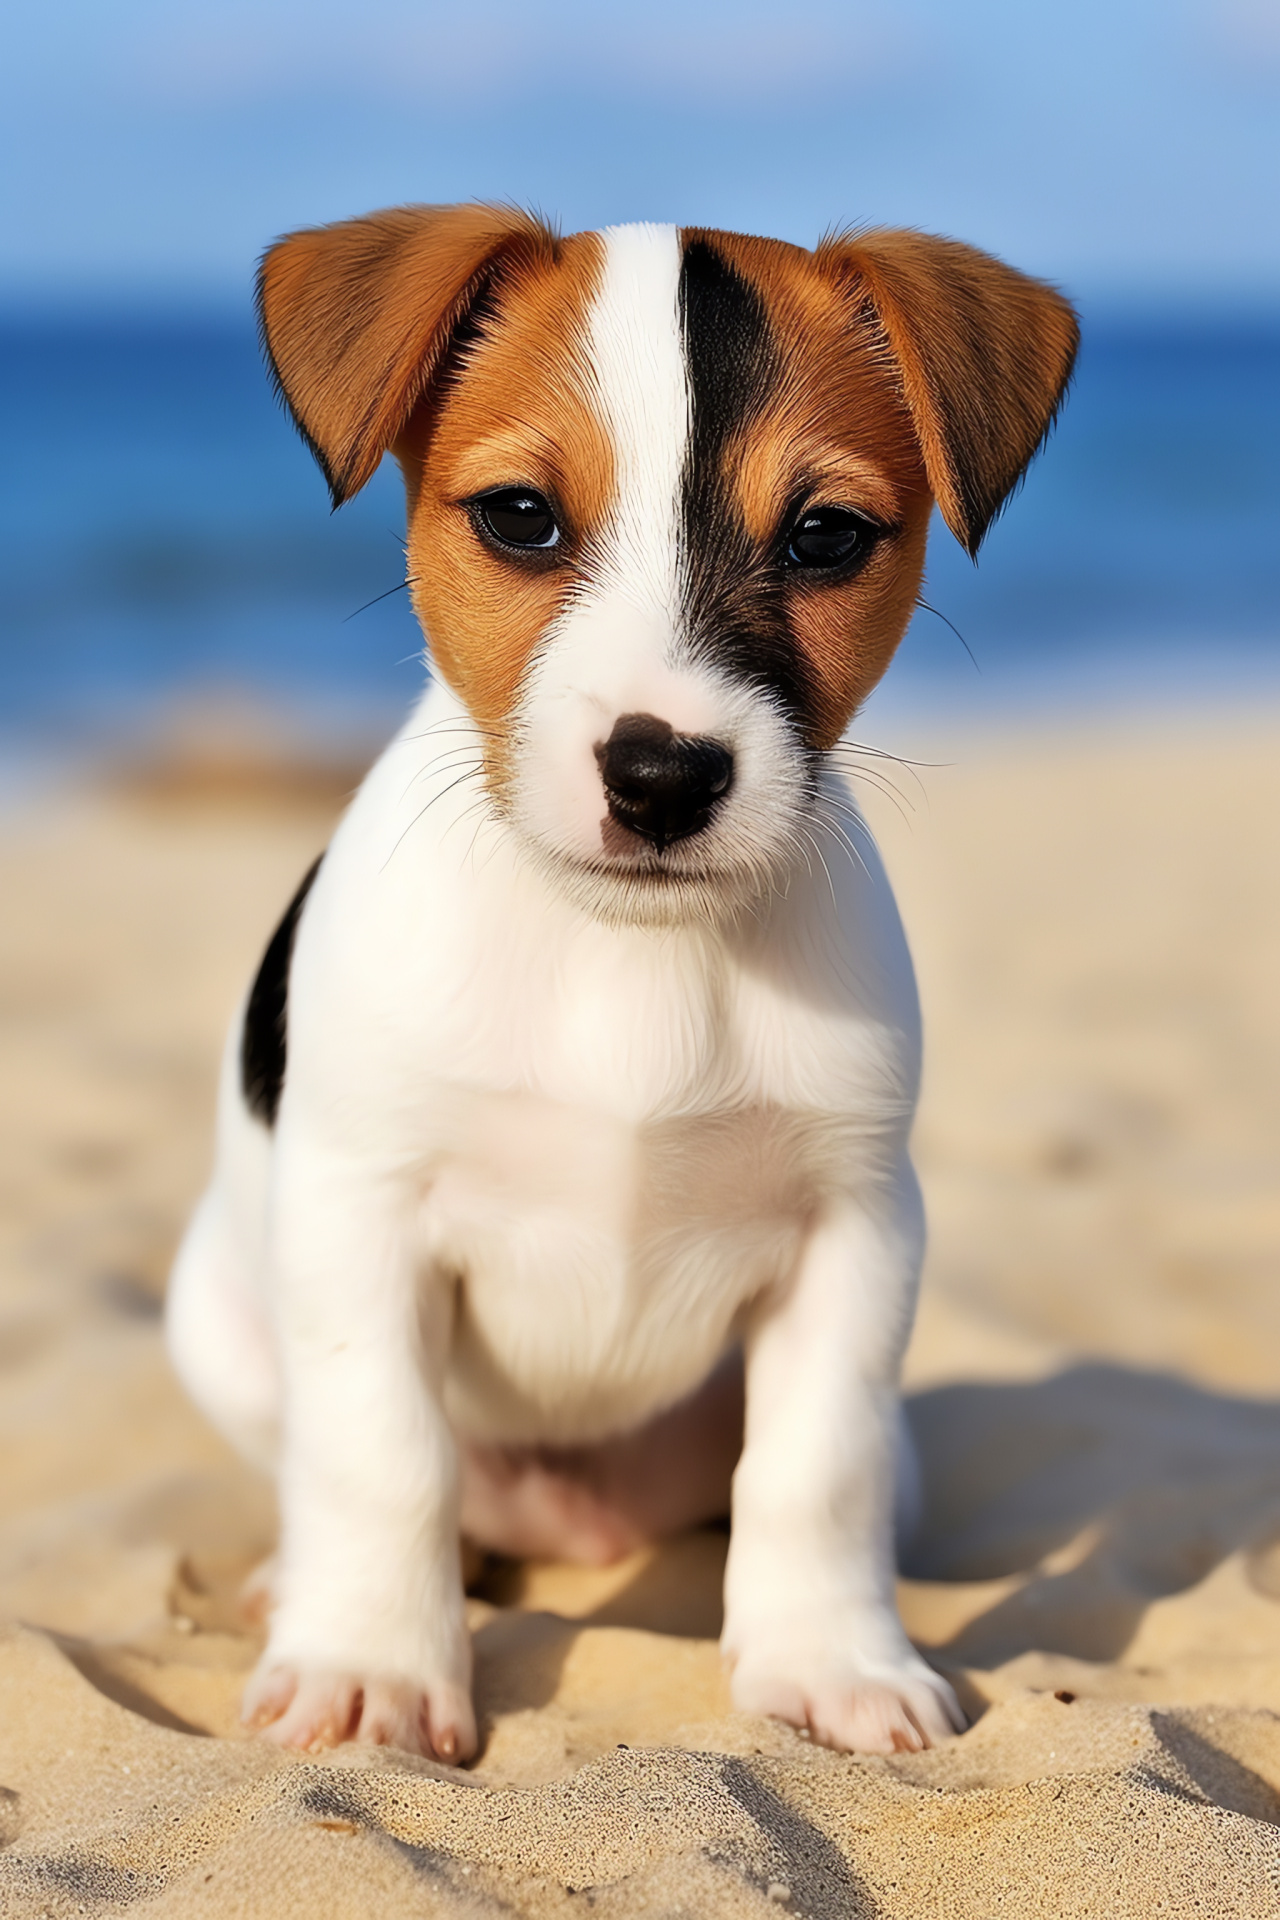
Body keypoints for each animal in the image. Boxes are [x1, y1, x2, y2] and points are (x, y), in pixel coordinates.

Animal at [165, 202, 1074, 1758]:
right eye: (520, 517)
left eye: (825, 536)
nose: (662, 775)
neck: (624, 957)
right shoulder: (360, 1211)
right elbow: (378, 1453)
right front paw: (367, 1662)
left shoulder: (855, 1230)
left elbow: (811, 1467)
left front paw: (830, 1661)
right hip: (220, 1321)